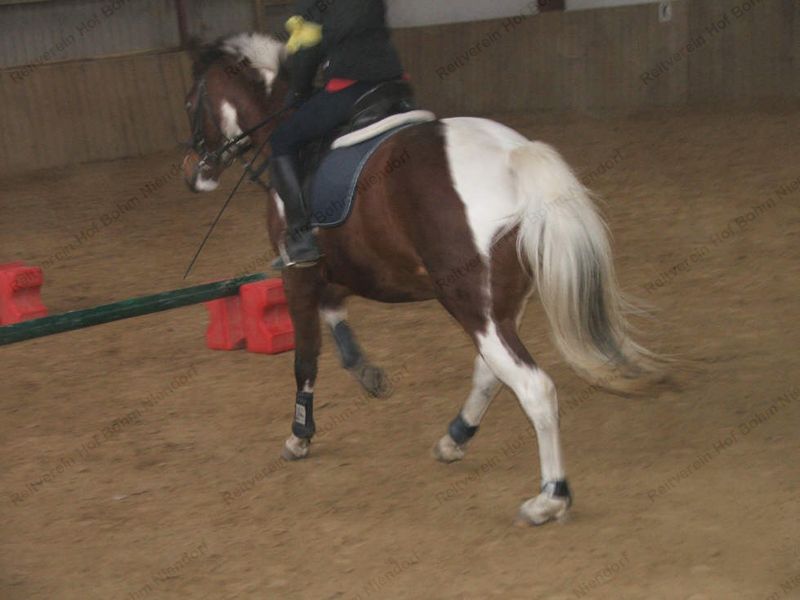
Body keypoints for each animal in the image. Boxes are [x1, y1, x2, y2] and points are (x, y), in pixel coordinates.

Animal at [180, 32, 658, 526]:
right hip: (499, 306)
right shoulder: (341, 269)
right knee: (490, 372)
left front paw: (300, 434)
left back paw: (550, 497)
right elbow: (336, 318)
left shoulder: (299, 274)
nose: (194, 172)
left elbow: (306, 359)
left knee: (534, 388)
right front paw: (367, 372)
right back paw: (456, 437)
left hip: (470, 304)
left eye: (190, 101)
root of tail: (513, 157)